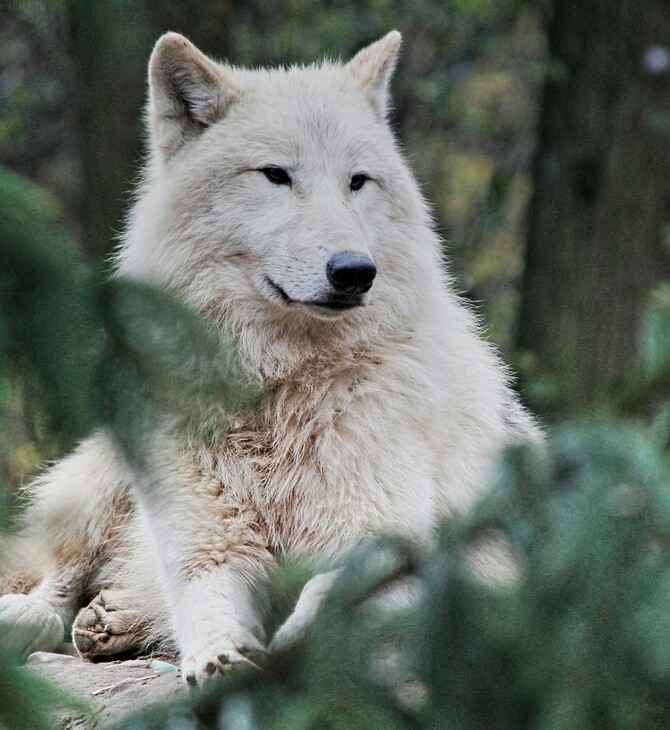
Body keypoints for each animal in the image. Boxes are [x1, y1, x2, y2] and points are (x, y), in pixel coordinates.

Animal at [0, 31, 540, 684]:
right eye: (276, 175)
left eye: (358, 181)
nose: (354, 271)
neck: (276, 390)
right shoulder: (206, 544)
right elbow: (204, 599)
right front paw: (221, 655)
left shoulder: (385, 546)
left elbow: (327, 597)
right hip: (112, 477)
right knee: (55, 589)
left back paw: (112, 620)